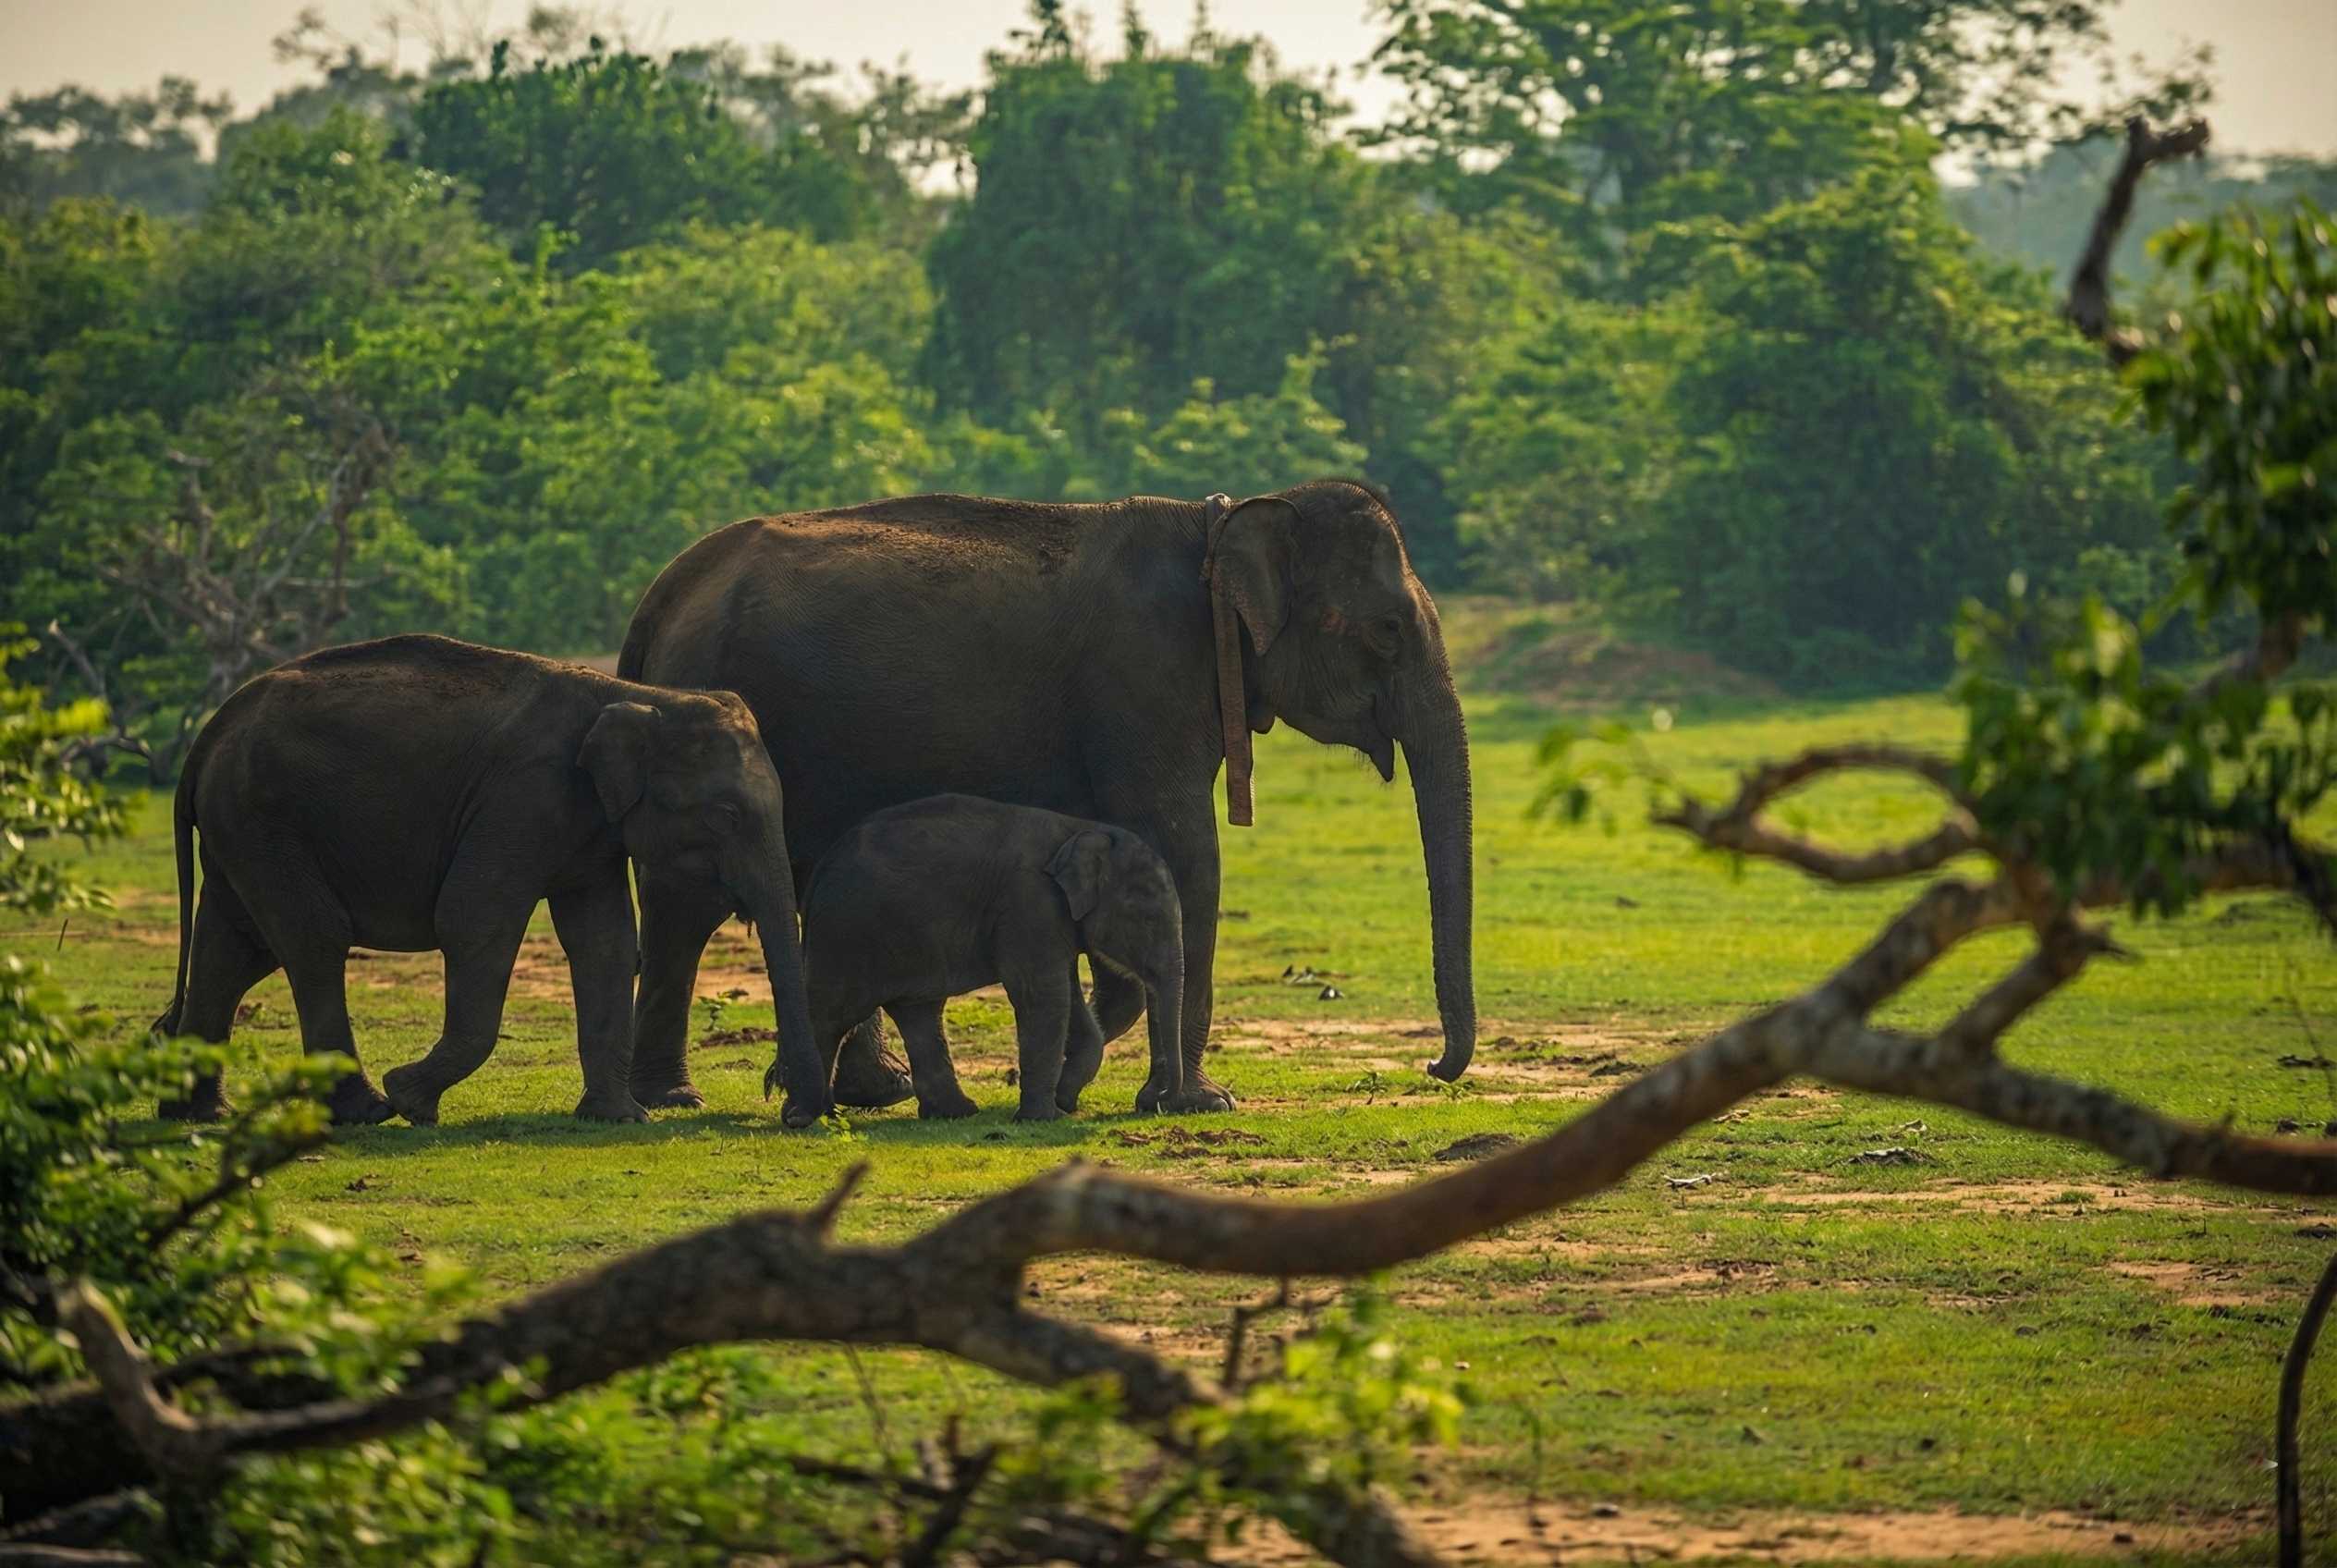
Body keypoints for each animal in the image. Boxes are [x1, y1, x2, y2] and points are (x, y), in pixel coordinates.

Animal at [151, 633, 820, 1128]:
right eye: (727, 814)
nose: (782, 1105)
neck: (637, 695)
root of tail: (209, 733)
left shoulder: (586, 830)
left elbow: (604, 942)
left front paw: (621, 1118)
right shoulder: (521, 798)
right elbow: (474, 920)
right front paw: (412, 1100)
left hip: (242, 829)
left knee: (233, 949)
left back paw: (198, 1114)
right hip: (263, 818)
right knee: (313, 940)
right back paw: (368, 1110)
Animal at [774, 794, 1191, 1125]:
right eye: (1147, 919)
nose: (1159, 1102)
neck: (1082, 829)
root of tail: (819, 872)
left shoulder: (1053, 919)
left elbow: (1069, 1003)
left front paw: (1063, 1101)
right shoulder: (1029, 902)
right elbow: (1043, 998)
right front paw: (1044, 1117)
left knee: (918, 1014)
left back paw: (954, 1113)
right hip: (846, 936)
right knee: (830, 1016)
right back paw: (805, 1117)